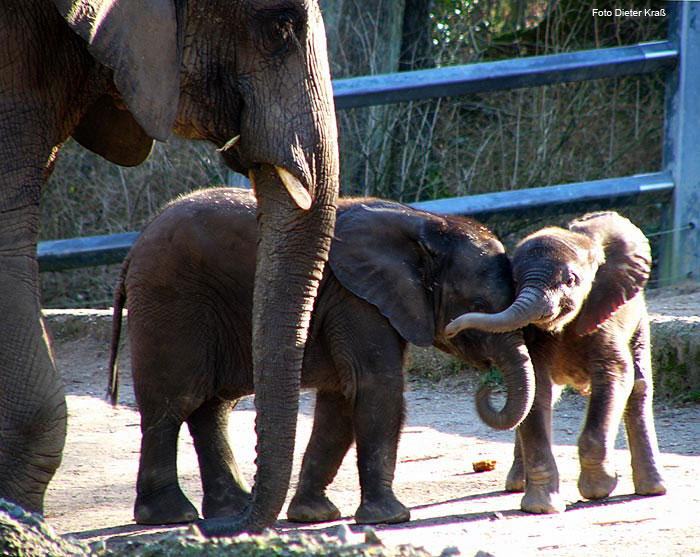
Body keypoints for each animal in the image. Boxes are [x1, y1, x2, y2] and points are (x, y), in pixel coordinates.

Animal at [108, 187, 536, 524]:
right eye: (477, 305)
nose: (488, 384)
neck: (426, 223)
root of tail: (132, 250)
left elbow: (342, 398)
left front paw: (313, 515)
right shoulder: (356, 297)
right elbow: (375, 385)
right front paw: (391, 518)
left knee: (212, 408)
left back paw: (232, 509)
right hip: (170, 302)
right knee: (173, 402)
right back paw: (171, 516)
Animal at [448, 210, 668, 512]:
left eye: (571, 280)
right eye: (514, 281)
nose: (450, 328)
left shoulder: (606, 315)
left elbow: (615, 377)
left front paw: (599, 488)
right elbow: (536, 390)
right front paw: (541, 507)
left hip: (639, 321)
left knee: (639, 388)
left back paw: (653, 489)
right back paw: (516, 485)